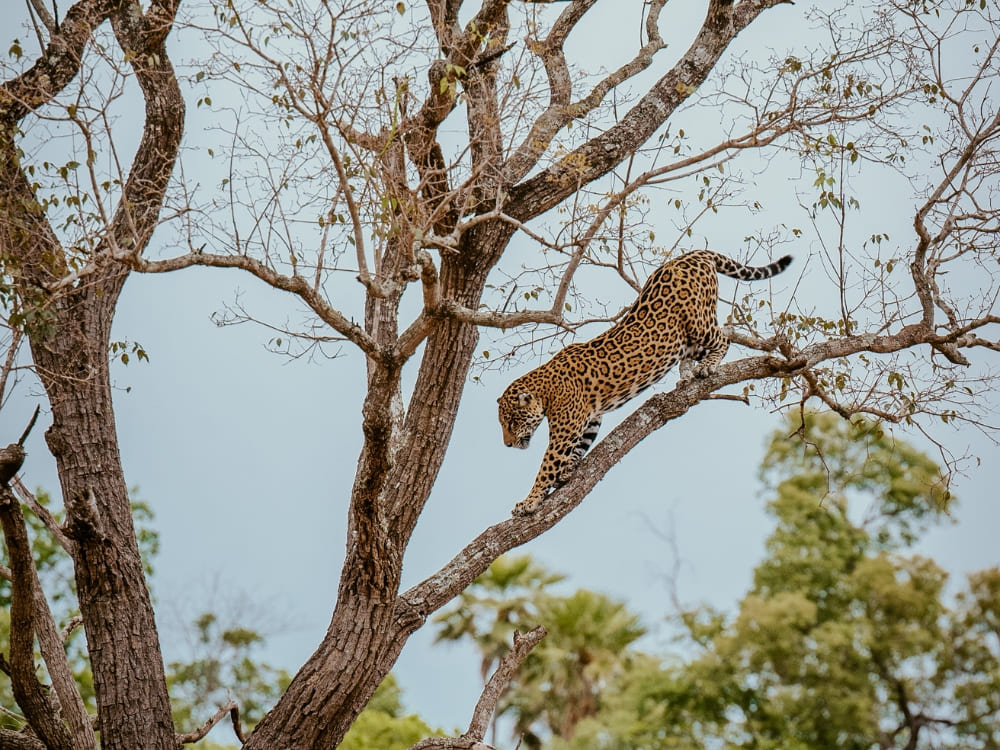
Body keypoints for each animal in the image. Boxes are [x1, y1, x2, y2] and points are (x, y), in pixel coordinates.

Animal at [498, 249, 792, 516]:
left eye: (512, 422)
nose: (507, 445)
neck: (545, 388)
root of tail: (691, 254)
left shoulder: (564, 430)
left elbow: (546, 466)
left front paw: (528, 502)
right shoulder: (591, 416)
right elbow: (582, 445)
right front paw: (568, 471)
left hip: (698, 322)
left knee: (723, 337)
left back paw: (707, 366)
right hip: (683, 339)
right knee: (695, 350)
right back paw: (686, 376)